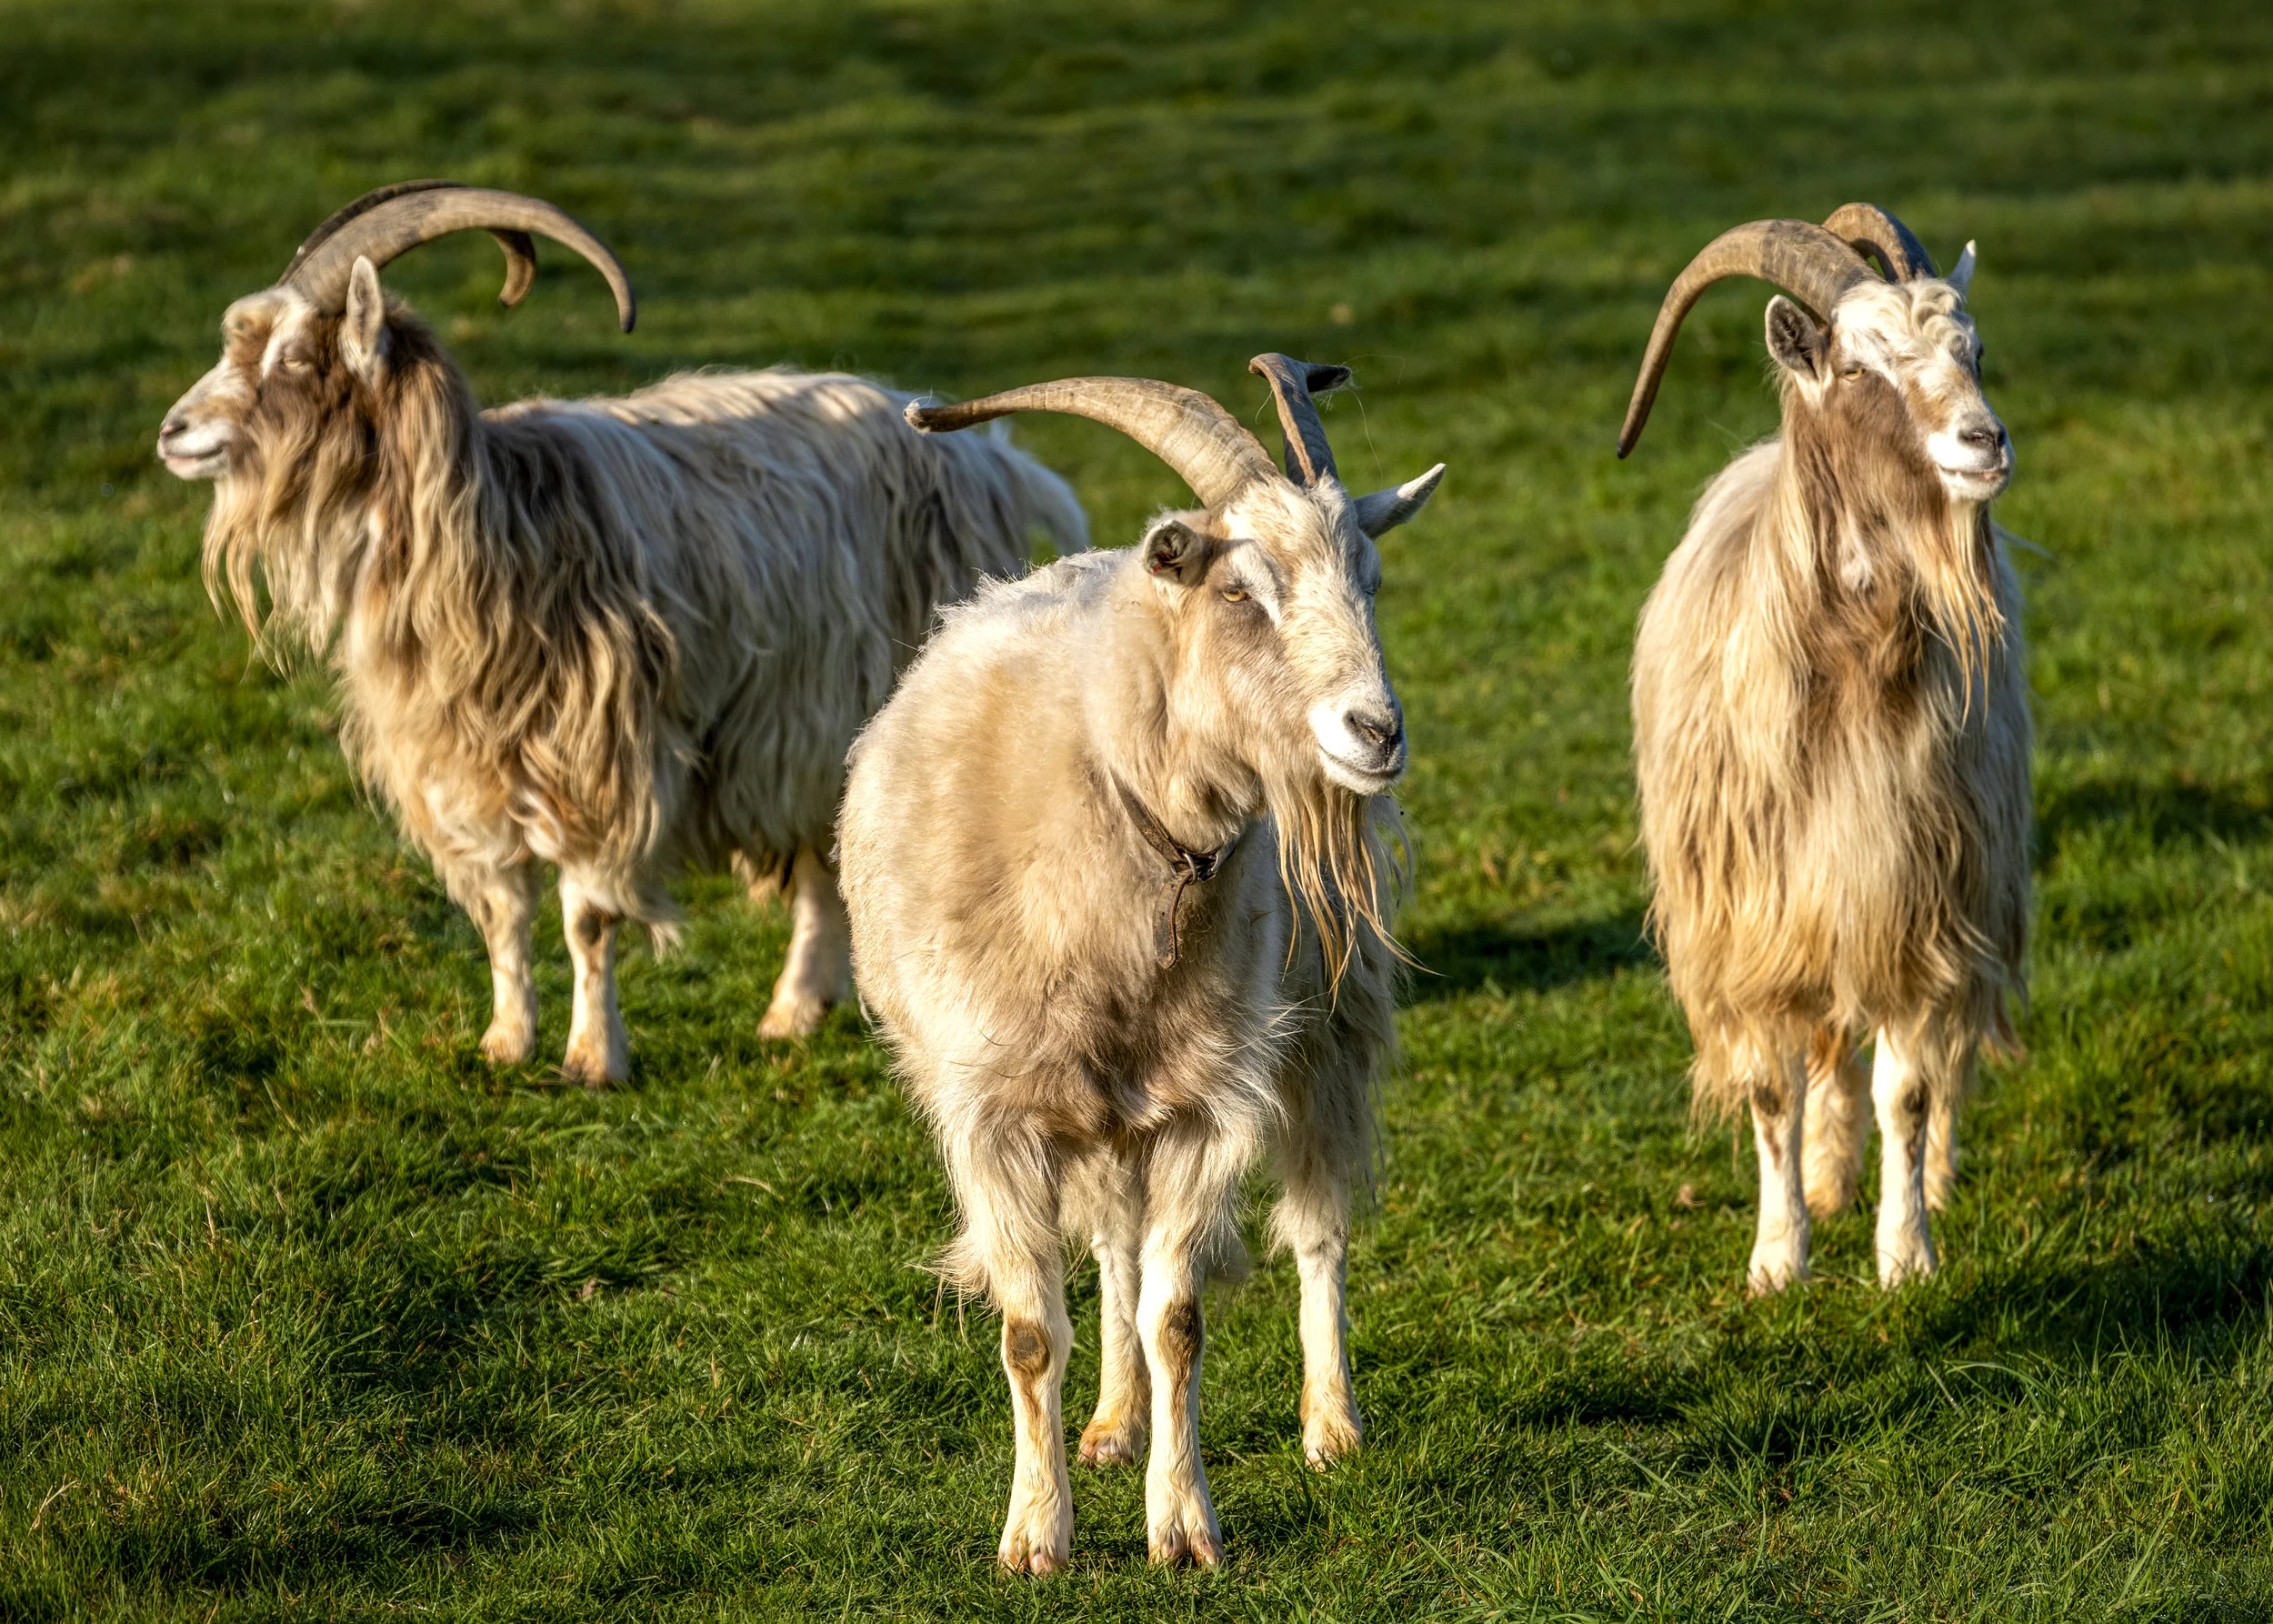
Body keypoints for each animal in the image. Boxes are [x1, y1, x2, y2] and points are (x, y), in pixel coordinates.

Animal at [157, 181, 1086, 1082]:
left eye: (292, 356)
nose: (171, 431)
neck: (498, 521)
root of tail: (995, 460)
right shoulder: (462, 766)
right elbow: (503, 914)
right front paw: (505, 1042)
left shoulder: (598, 759)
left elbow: (587, 921)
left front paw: (593, 1057)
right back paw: (804, 1008)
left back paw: (795, 1006)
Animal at [839, 356, 1443, 1571]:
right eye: (1240, 591)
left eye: (1370, 575)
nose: (1376, 730)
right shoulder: (996, 1110)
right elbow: (1031, 1332)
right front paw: (1037, 1533)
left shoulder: (1208, 1099)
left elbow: (1180, 1318)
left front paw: (1184, 1525)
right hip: (1109, 1100)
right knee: (1114, 1243)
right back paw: (1112, 1421)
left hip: (1318, 1020)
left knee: (1314, 1223)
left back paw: (1330, 1423)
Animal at [1618, 203, 2030, 1292]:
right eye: (1856, 366)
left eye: (1974, 349)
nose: (1985, 441)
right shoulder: (1757, 917)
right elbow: (1774, 1090)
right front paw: (1778, 1258)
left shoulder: (1920, 903)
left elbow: (1910, 1091)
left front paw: (1907, 1255)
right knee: (1822, 1051)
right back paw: (1827, 1176)